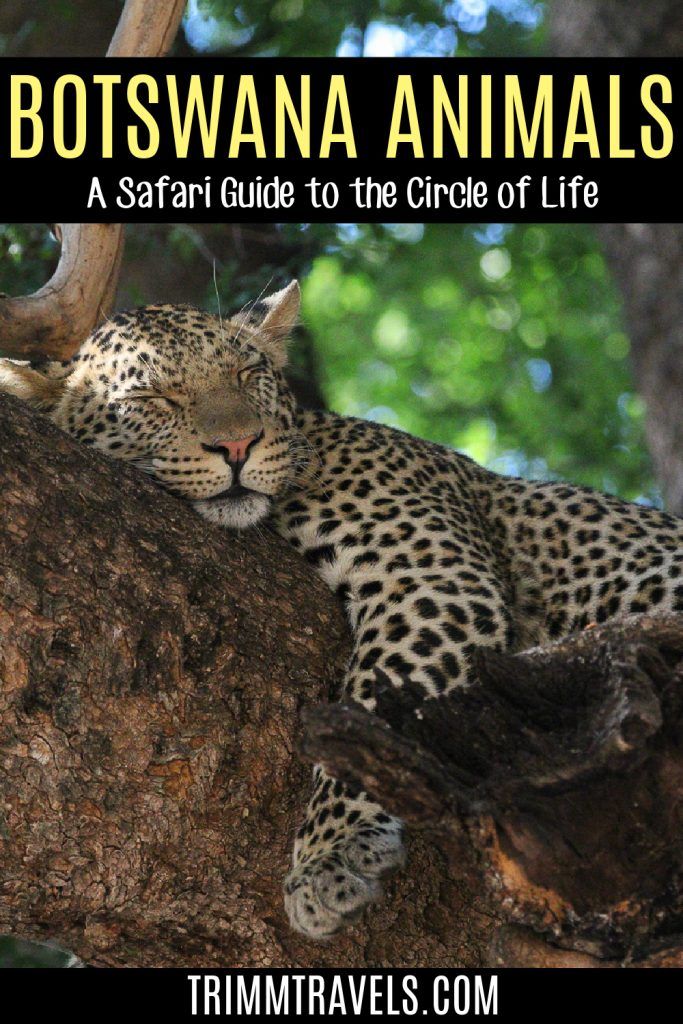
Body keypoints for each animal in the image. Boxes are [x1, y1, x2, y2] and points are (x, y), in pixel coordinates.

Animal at [2, 278, 679, 937]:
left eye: (248, 372)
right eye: (152, 398)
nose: (239, 444)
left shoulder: (431, 576)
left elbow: (370, 705)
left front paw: (332, 855)